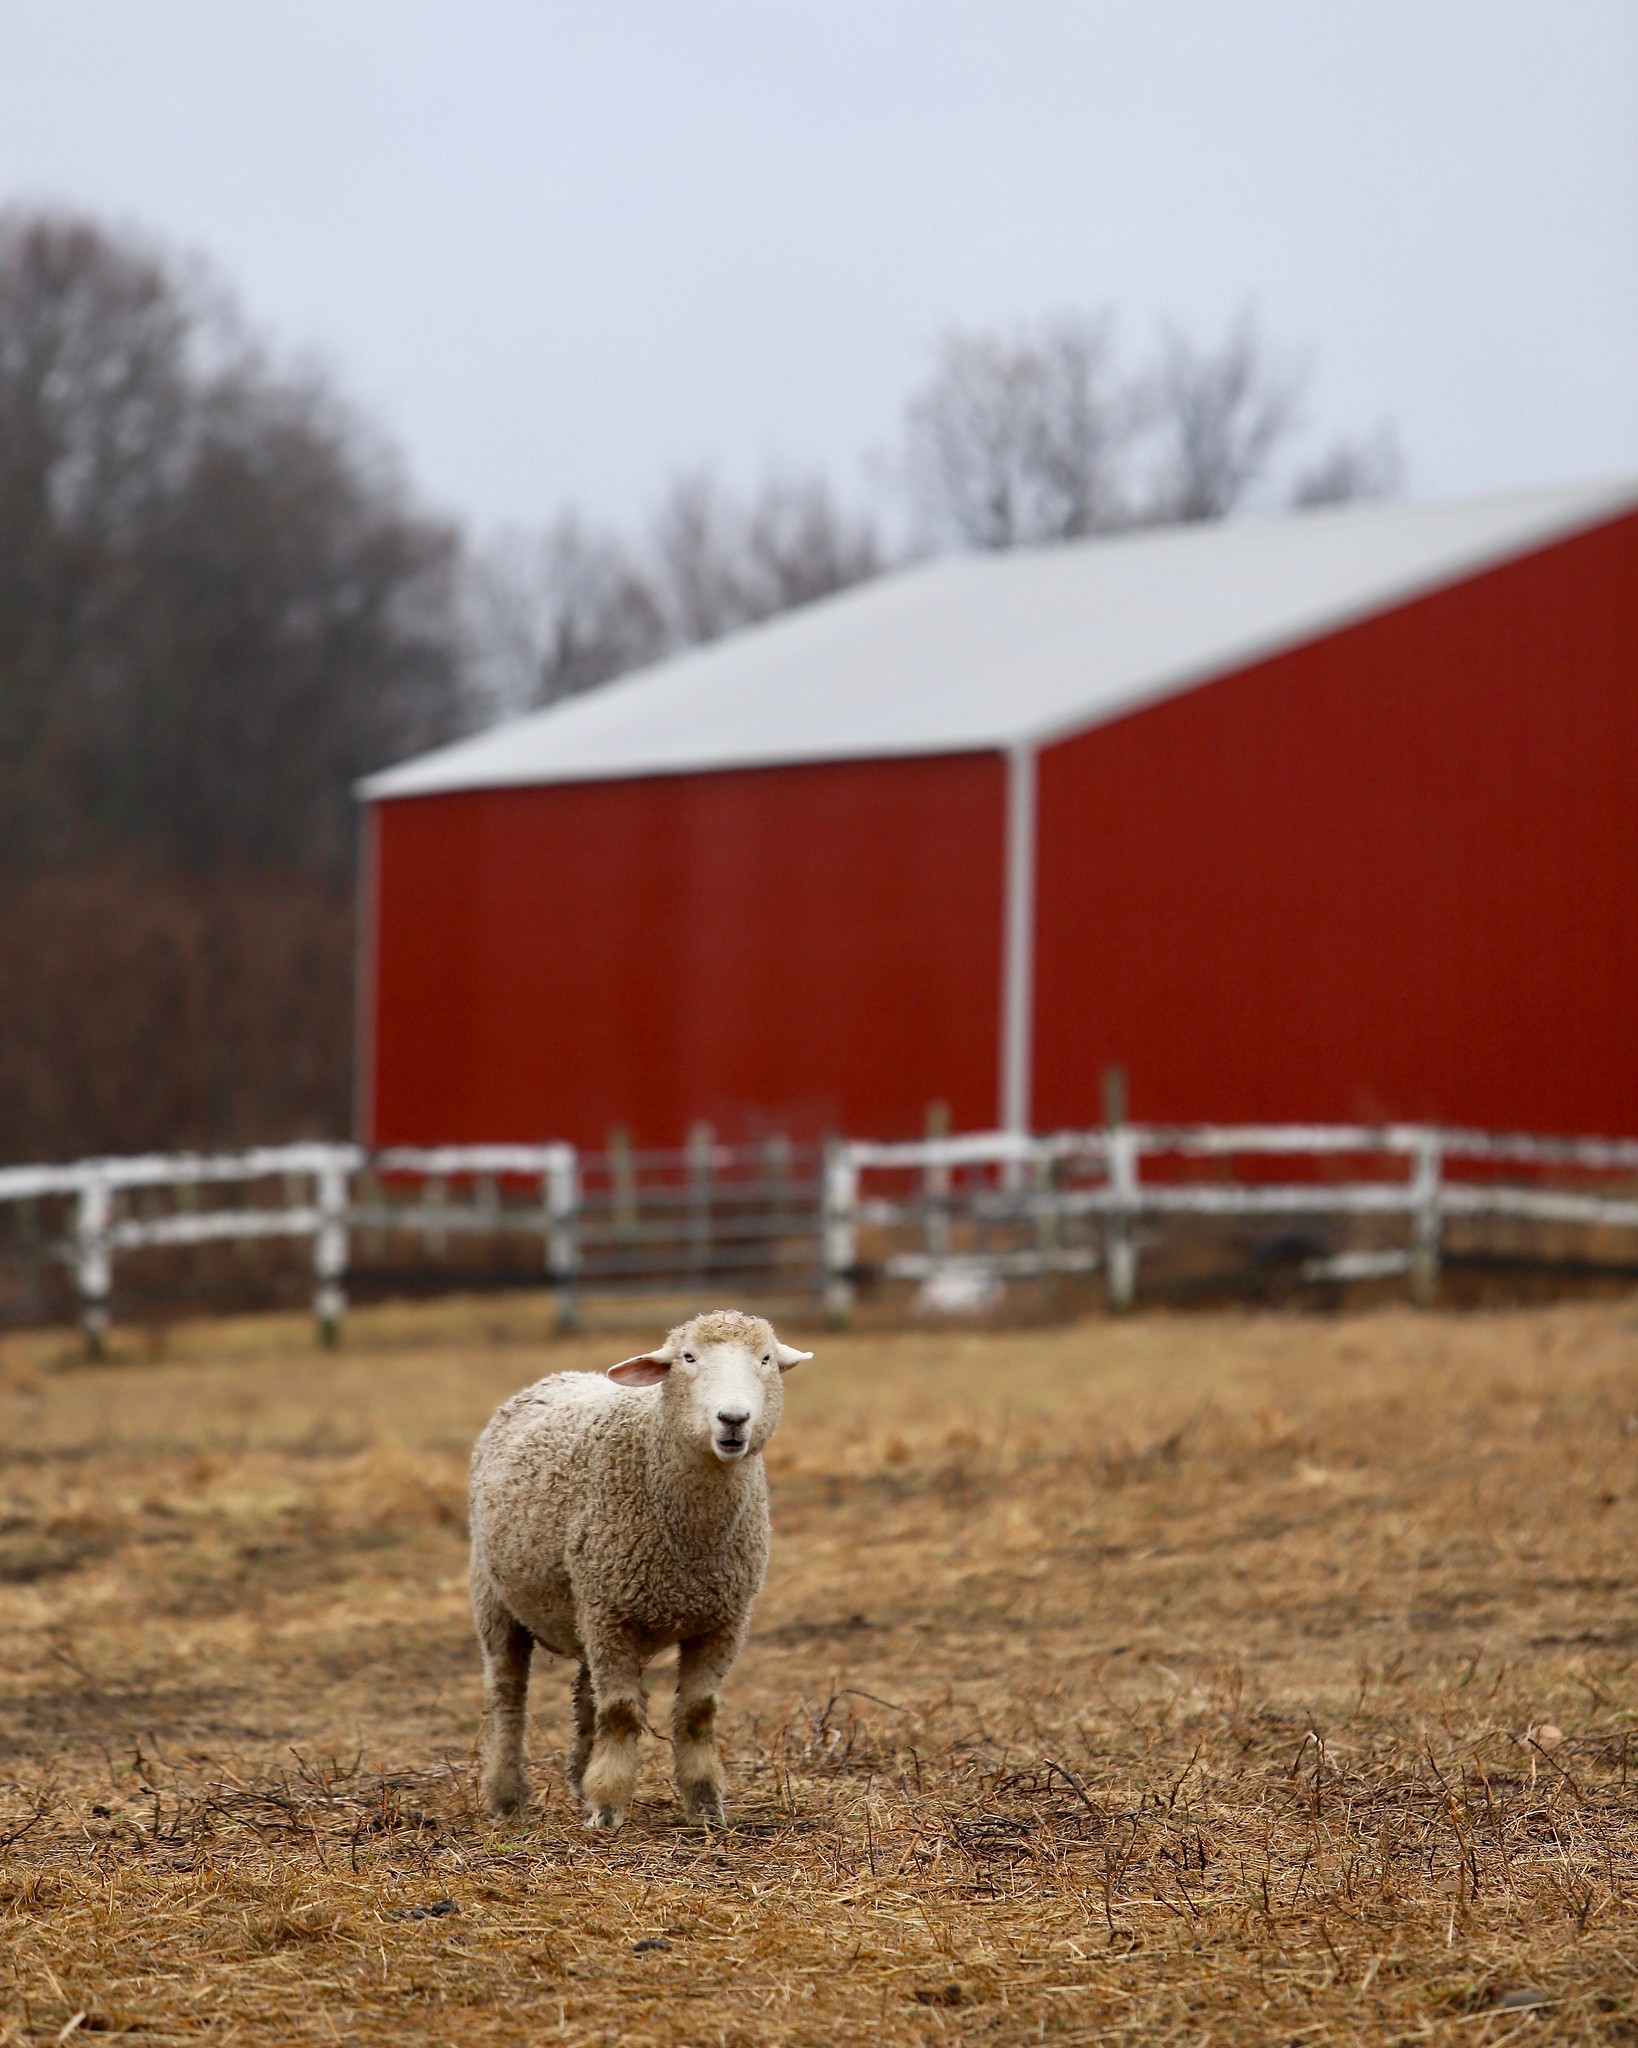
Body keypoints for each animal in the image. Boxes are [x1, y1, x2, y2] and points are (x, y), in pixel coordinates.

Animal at [466, 1302, 810, 1835]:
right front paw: (608, 1808)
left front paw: (704, 1805)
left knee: (584, 1695)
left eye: (766, 1359)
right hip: (498, 1597)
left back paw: (579, 1778)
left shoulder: (724, 1619)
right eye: (687, 1358)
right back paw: (506, 1797)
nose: (733, 1420)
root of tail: (556, 1377)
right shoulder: (610, 1613)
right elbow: (623, 1713)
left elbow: (697, 1713)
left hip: (586, 1607)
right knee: (508, 1695)